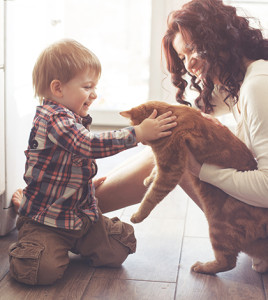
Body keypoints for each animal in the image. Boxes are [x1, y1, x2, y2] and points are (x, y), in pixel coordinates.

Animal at [120, 100, 268, 274]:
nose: (141, 142)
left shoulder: (171, 170)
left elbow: (151, 196)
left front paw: (138, 215)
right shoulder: (166, 165)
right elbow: (154, 171)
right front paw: (149, 178)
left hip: (217, 227)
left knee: (227, 262)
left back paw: (201, 267)